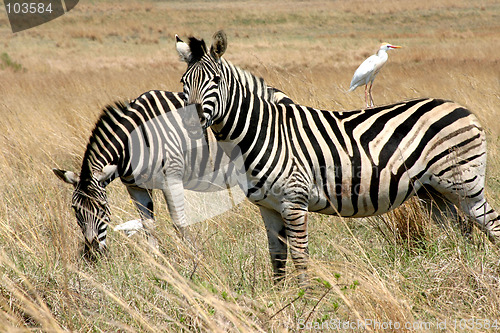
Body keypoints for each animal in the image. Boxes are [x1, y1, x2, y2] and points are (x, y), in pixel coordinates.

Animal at [53, 89, 292, 260]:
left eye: (102, 208)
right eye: (75, 209)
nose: (91, 254)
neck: (134, 142)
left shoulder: (171, 180)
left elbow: (179, 222)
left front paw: (195, 258)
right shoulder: (136, 187)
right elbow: (148, 224)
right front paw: (156, 260)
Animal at [177, 31, 500, 282]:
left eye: (216, 79)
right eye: (183, 82)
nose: (190, 123)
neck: (261, 132)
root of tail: (463, 108)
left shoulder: (294, 200)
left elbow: (300, 254)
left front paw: (304, 299)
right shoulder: (267, 206)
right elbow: (277, 257)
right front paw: (279, 299)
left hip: (464, 183)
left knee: (491, 224)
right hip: (433, 192)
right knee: (460, 232)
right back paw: (461, 268)